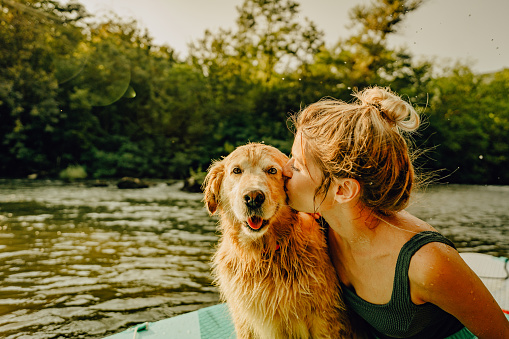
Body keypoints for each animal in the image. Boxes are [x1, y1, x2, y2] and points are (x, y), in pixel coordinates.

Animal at [202, 143, 354, 339]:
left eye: (272, 170)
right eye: (236, 170)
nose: (253, 197)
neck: (261, 254)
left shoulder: (324, 319)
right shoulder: (244, 320)